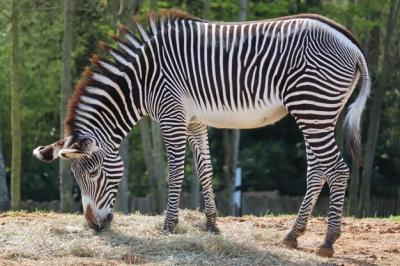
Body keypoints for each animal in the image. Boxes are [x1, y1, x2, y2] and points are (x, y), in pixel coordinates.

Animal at [32, 10, 370, 258]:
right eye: (75, 177)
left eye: (94, 173)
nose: (92, 226)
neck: (140, 80)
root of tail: (352, 43)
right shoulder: (195, 120)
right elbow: (205, 170)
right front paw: (211, 224)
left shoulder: (171, 116)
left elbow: (176, 173)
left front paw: (169, 226)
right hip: (318, 111)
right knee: (318, 171)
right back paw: (292, 235)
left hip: (311, 106)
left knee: (337, 170)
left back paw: (328, 241)